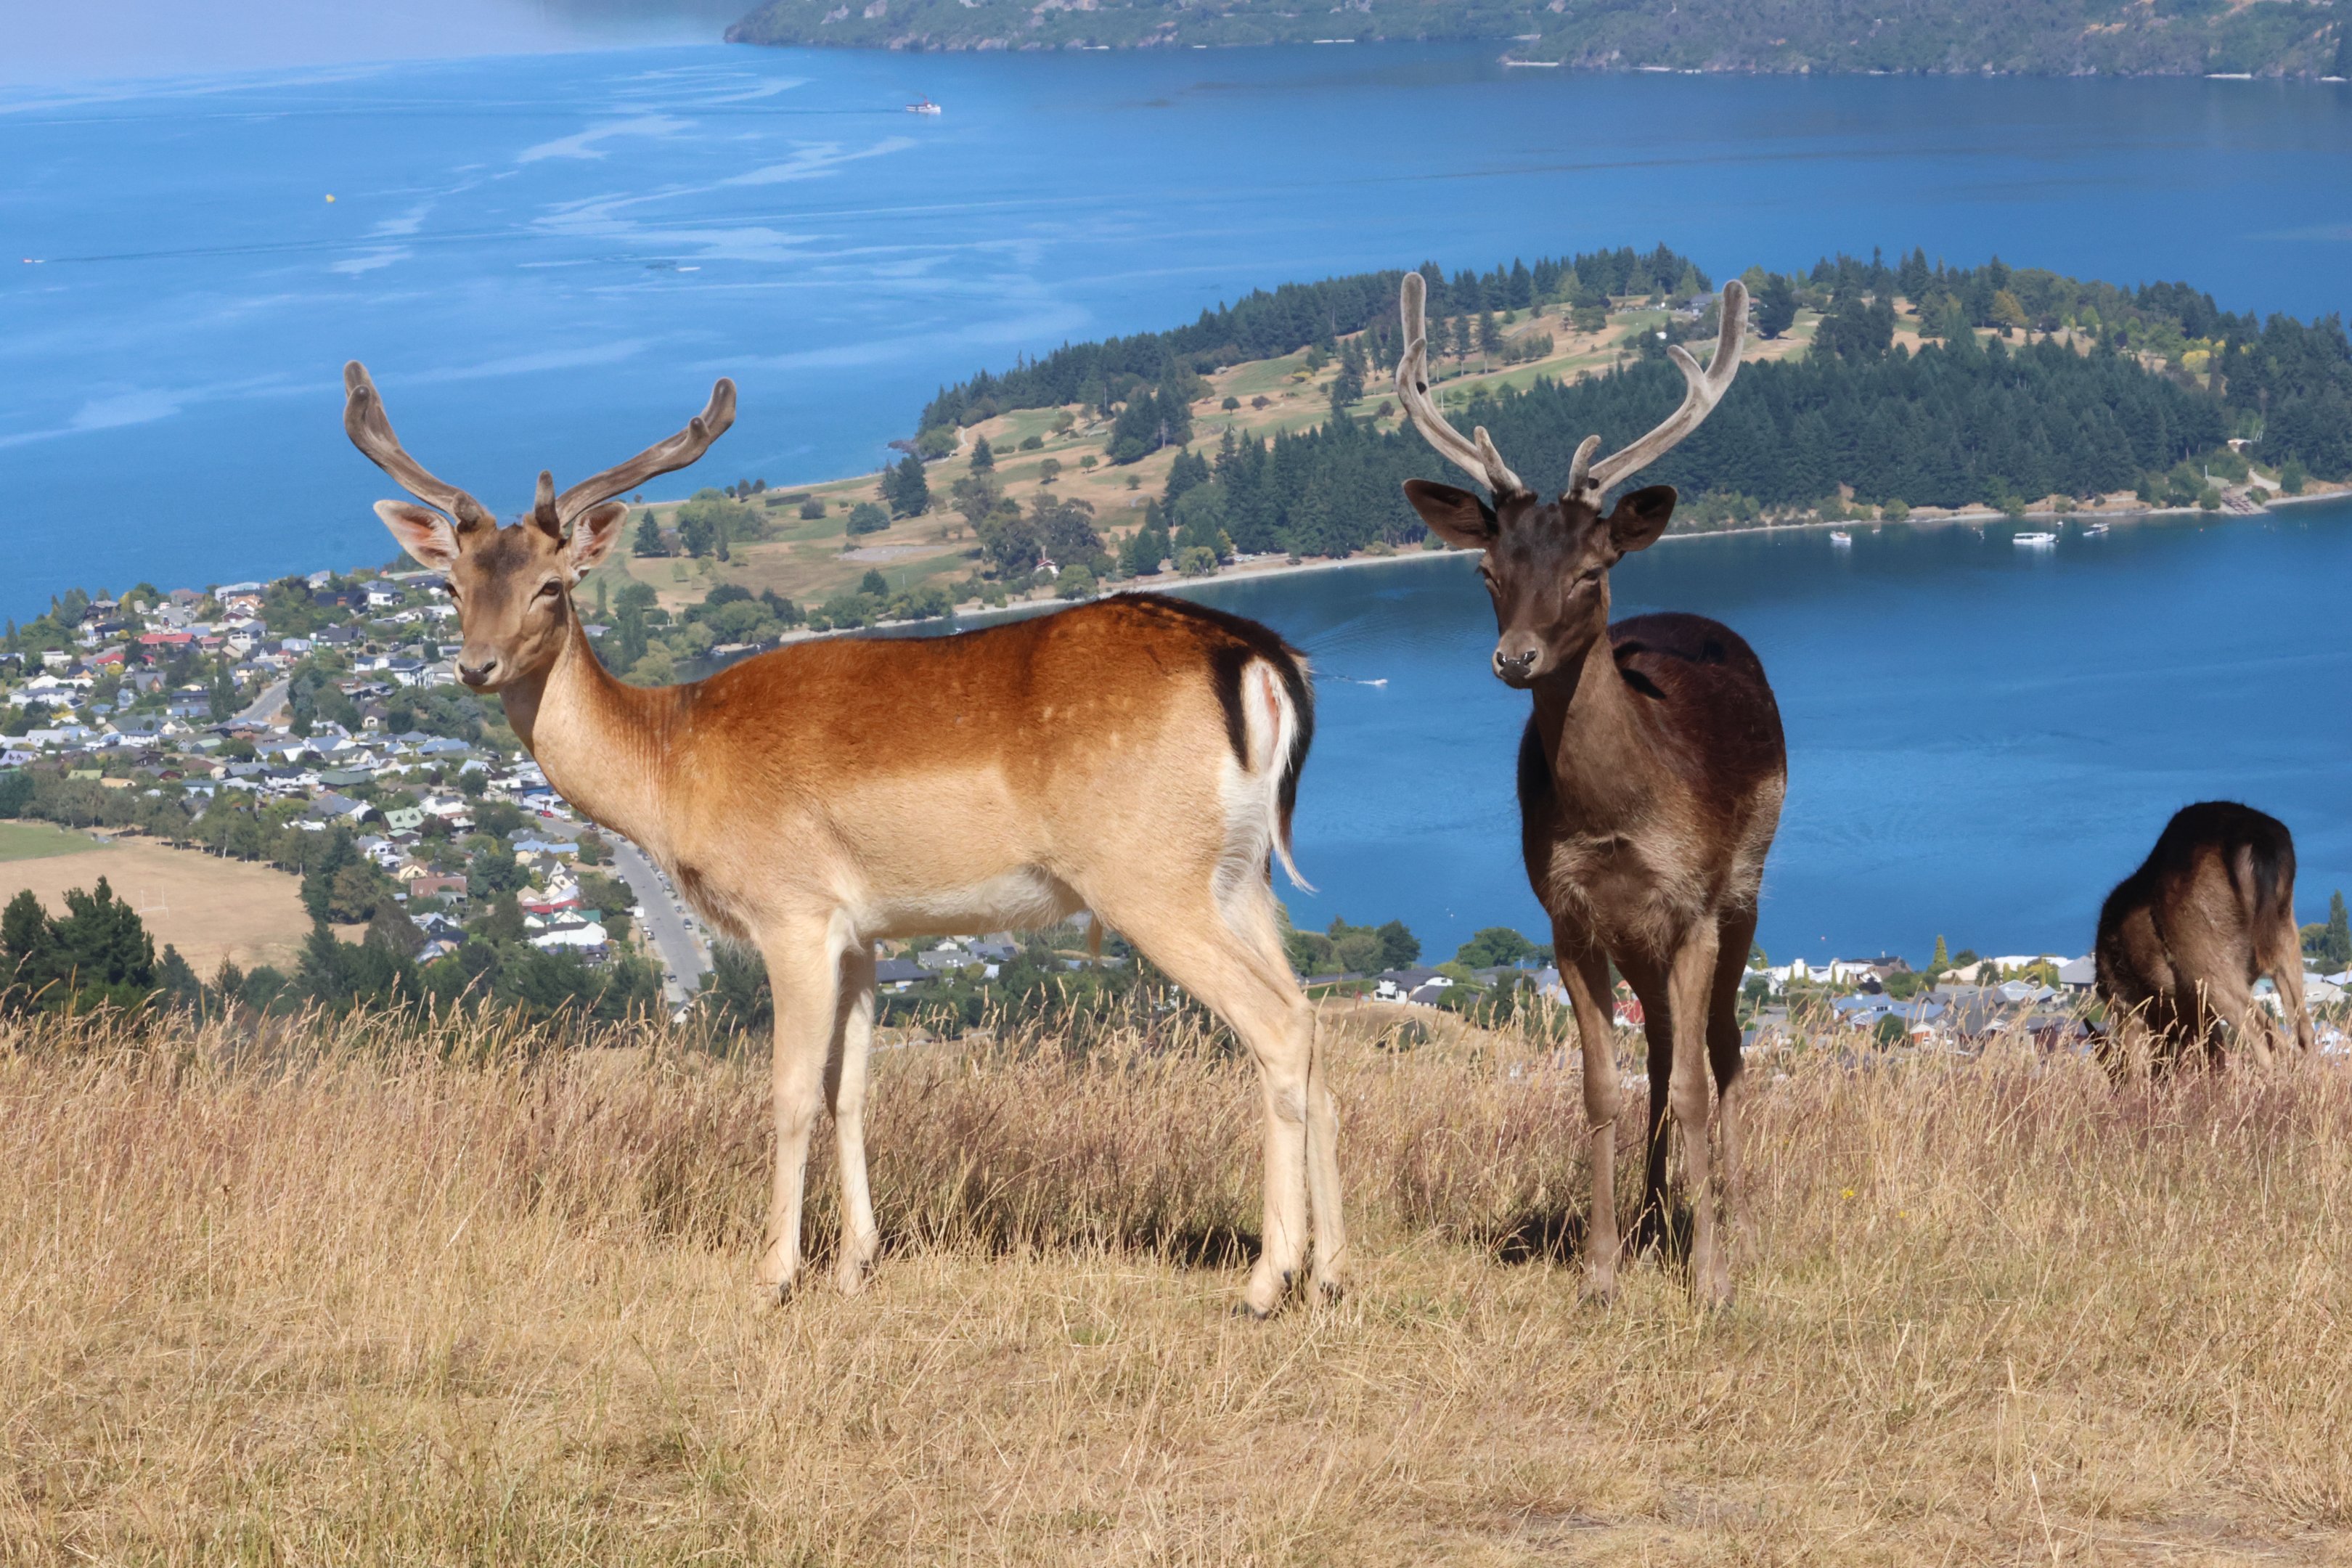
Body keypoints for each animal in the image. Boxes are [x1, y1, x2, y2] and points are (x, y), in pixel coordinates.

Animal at [341, 363, 1345, 1315]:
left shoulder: (791, 909)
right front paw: (858, 1262)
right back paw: (1333, 1273)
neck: (672, 767)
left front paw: (774, 1274)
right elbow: (850, 1089)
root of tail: (1261, 663)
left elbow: (789, 1092)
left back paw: (1267, 1281)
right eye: (451, 584)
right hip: (1239, 876)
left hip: (1149, 877)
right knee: (1315, 1021)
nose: (476, 666)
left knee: (1279, 1024)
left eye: (552, 585)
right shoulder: (862, 933)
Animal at [1390, 271, 1783, 1307]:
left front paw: (1711, 1277)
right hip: (1639, 937)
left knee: (1721, 1045)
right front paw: (1603, 1270)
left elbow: (1695, 1084)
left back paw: (1734, 1216)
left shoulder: (1691, 903)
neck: (1616, 819)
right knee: (1662, 1047)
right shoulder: (1568, 914)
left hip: (1747, 884)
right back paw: (1653, 1216)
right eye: (1486, 567)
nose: (1515, 657)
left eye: (1592, 568)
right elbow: (1603, 1086)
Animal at [2094, 801, 2313, 1074]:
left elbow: (2140, 1064)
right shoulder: (2199, 1011)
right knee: (2302, 1028)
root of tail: (2255, 841)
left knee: (2263, 1034)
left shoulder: (2129, 1008)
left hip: (2204, 955)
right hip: (2284, 929)